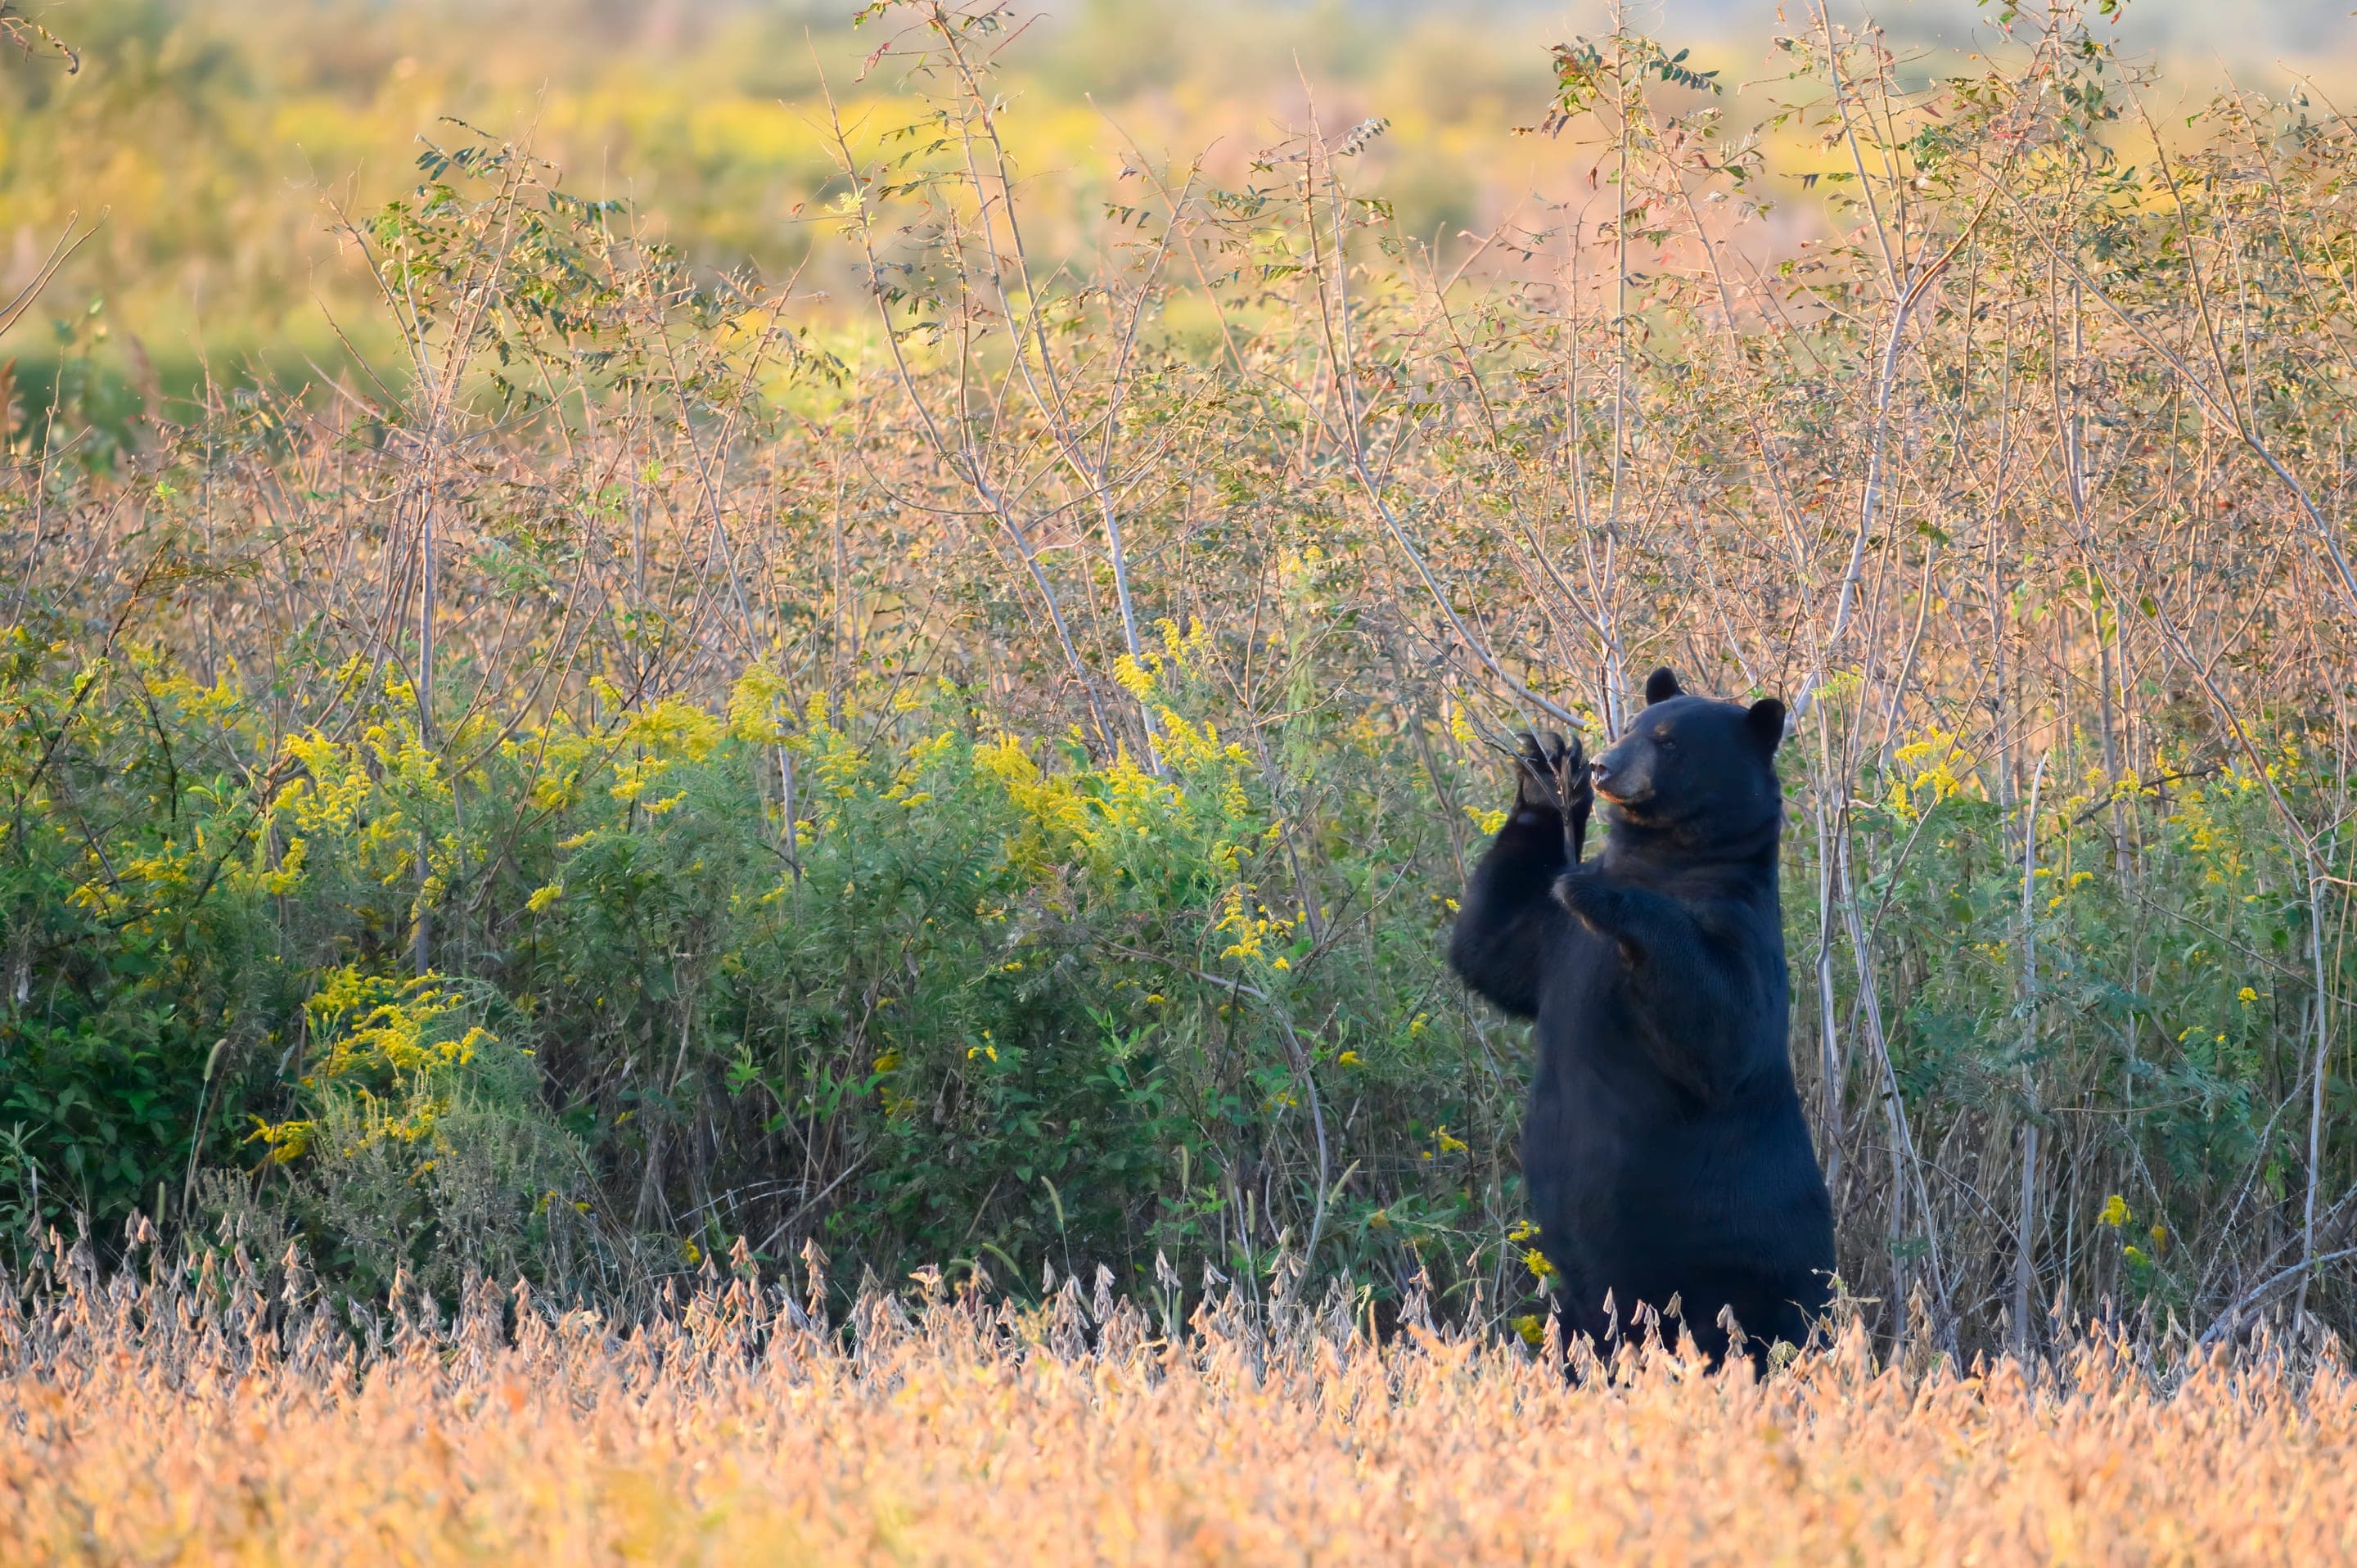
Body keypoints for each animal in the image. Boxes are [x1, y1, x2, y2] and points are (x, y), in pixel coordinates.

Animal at [1448, 667, 1835, 1369]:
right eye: (1629, 726)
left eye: (1669, 741)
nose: (1605, 765)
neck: (1667, 860)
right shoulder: (1554, 944)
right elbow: (1492, 949)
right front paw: (1547, 773)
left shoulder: (1742, 931)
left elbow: (1724, 1030)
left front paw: (1601, 892)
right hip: (1586, 1303)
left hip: (1751, 1276)